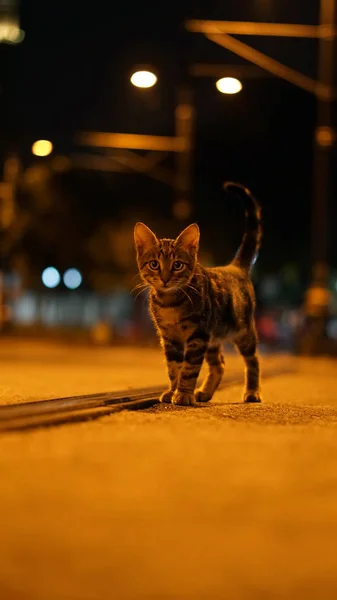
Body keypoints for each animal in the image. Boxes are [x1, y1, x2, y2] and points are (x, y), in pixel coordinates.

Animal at [133, 182, 262, 408]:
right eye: (154, 264)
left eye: (177, 265)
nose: (165, 278)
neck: (170, 302)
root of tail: (234, 267)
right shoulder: (169, 337)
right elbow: (174, 367)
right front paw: (173, 390)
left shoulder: (198, 334)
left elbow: (189, 368)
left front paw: (184, 393)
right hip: (213, 336)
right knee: (219, 364)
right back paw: (205, 392)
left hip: (243, 330)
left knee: (253, 360)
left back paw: (252, 391)